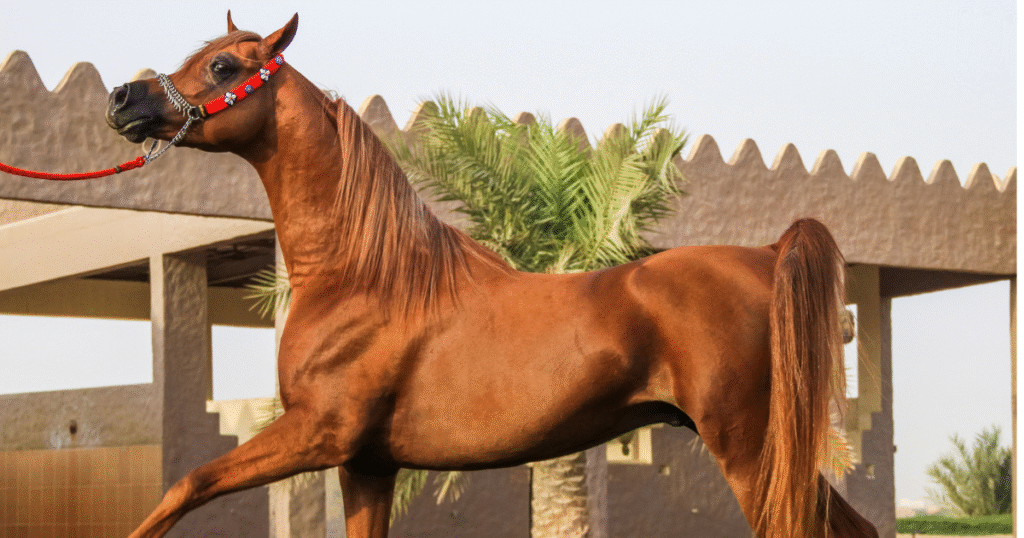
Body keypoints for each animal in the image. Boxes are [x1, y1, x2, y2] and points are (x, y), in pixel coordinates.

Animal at [104, 13, 878, 538]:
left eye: (224, 68)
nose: (122, 99)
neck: (366, 277)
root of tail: (769, 254)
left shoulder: (317, 433)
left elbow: (185, 483)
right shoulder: (366, 464)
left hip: (752, 450)